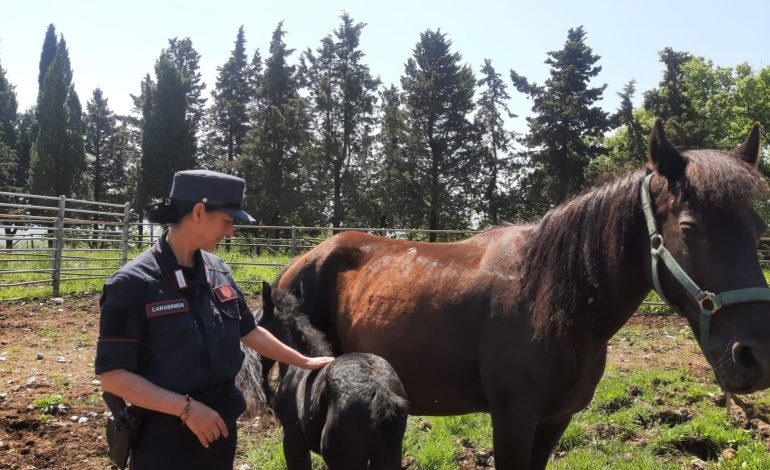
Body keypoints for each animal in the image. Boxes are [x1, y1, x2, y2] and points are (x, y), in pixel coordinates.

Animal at [270, 120, 768, 466]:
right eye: (690, 228)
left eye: (759, 229)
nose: (755, 358)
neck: (552, 304)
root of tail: (304, 260)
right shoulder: (513, 420)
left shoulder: (554, 421)